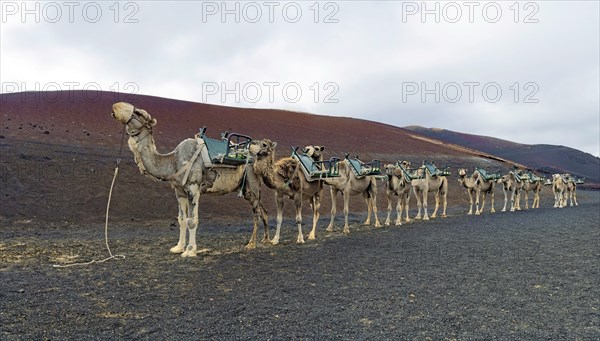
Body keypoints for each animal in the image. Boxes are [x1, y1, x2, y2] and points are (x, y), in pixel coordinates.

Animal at [110, 102, 270, 256]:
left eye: (138, 113)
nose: (115, 107)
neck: (173, 161)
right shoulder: (179, 191)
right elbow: (181, 219)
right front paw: (178, 247)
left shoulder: (193, 187)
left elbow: (192, 220)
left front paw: (190, 250)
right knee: (264, 211)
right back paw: (267, 240)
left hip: (251, 185)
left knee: (257, 213)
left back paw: (252, 244)